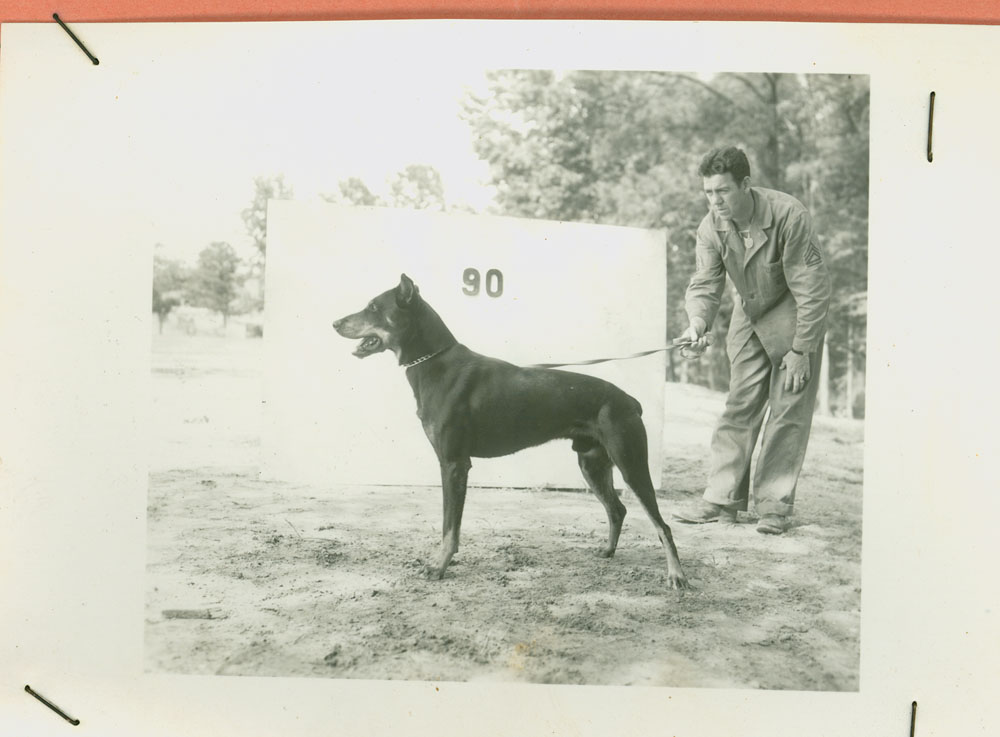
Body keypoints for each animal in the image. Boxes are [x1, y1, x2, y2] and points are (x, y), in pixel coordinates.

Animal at [336, 274, 688, 588]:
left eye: (373, 307)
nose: (335, 323)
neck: (434, 362)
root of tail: (630, 401)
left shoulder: (454, 464)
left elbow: (450, 526)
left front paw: (438, 566)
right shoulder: (452, 465)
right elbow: (449, 525)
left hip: (631, 464)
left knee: (662, 525)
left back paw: (676, 576)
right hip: (592, 464)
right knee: (617, 509)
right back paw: (608, 551)